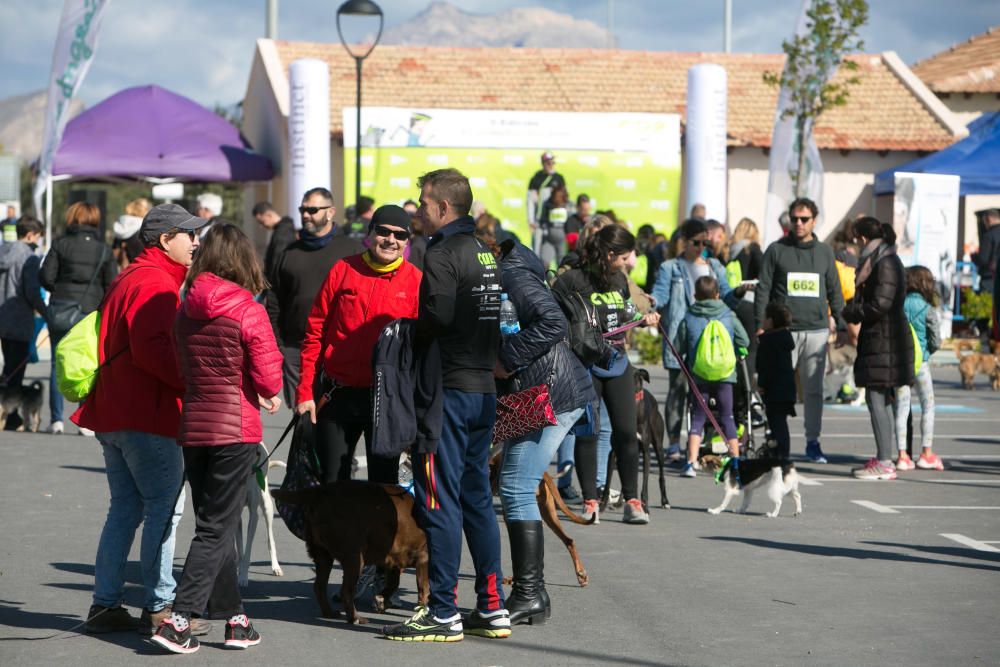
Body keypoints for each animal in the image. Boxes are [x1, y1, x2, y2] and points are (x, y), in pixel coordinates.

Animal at [272, 480, 428, 628]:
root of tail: (321, 491)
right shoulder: (423, 559)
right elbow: (423, 590)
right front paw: (423, 611)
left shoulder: (395, 560)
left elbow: (393, 583)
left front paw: (381, 600)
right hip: (355, 558)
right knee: (346, 591)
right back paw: (355, 618)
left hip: (322, 554)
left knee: (319, 586)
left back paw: (329, 613)